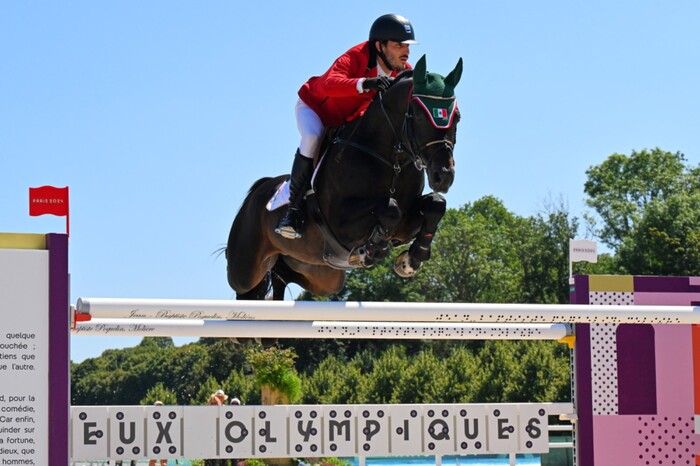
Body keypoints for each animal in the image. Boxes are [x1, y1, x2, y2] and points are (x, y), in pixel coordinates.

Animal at [227, 54, 462, 300]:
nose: (443, 176)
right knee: (247, 288)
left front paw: (411, 260)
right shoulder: (341, 223)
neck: (391, 159)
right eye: (418, 116)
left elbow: (435, 204)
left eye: (456, 117)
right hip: (245, 272)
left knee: (282, 277)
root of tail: (258, 190)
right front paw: (372, 250)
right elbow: (390, 208)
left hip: (319, 274)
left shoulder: (404, 226)